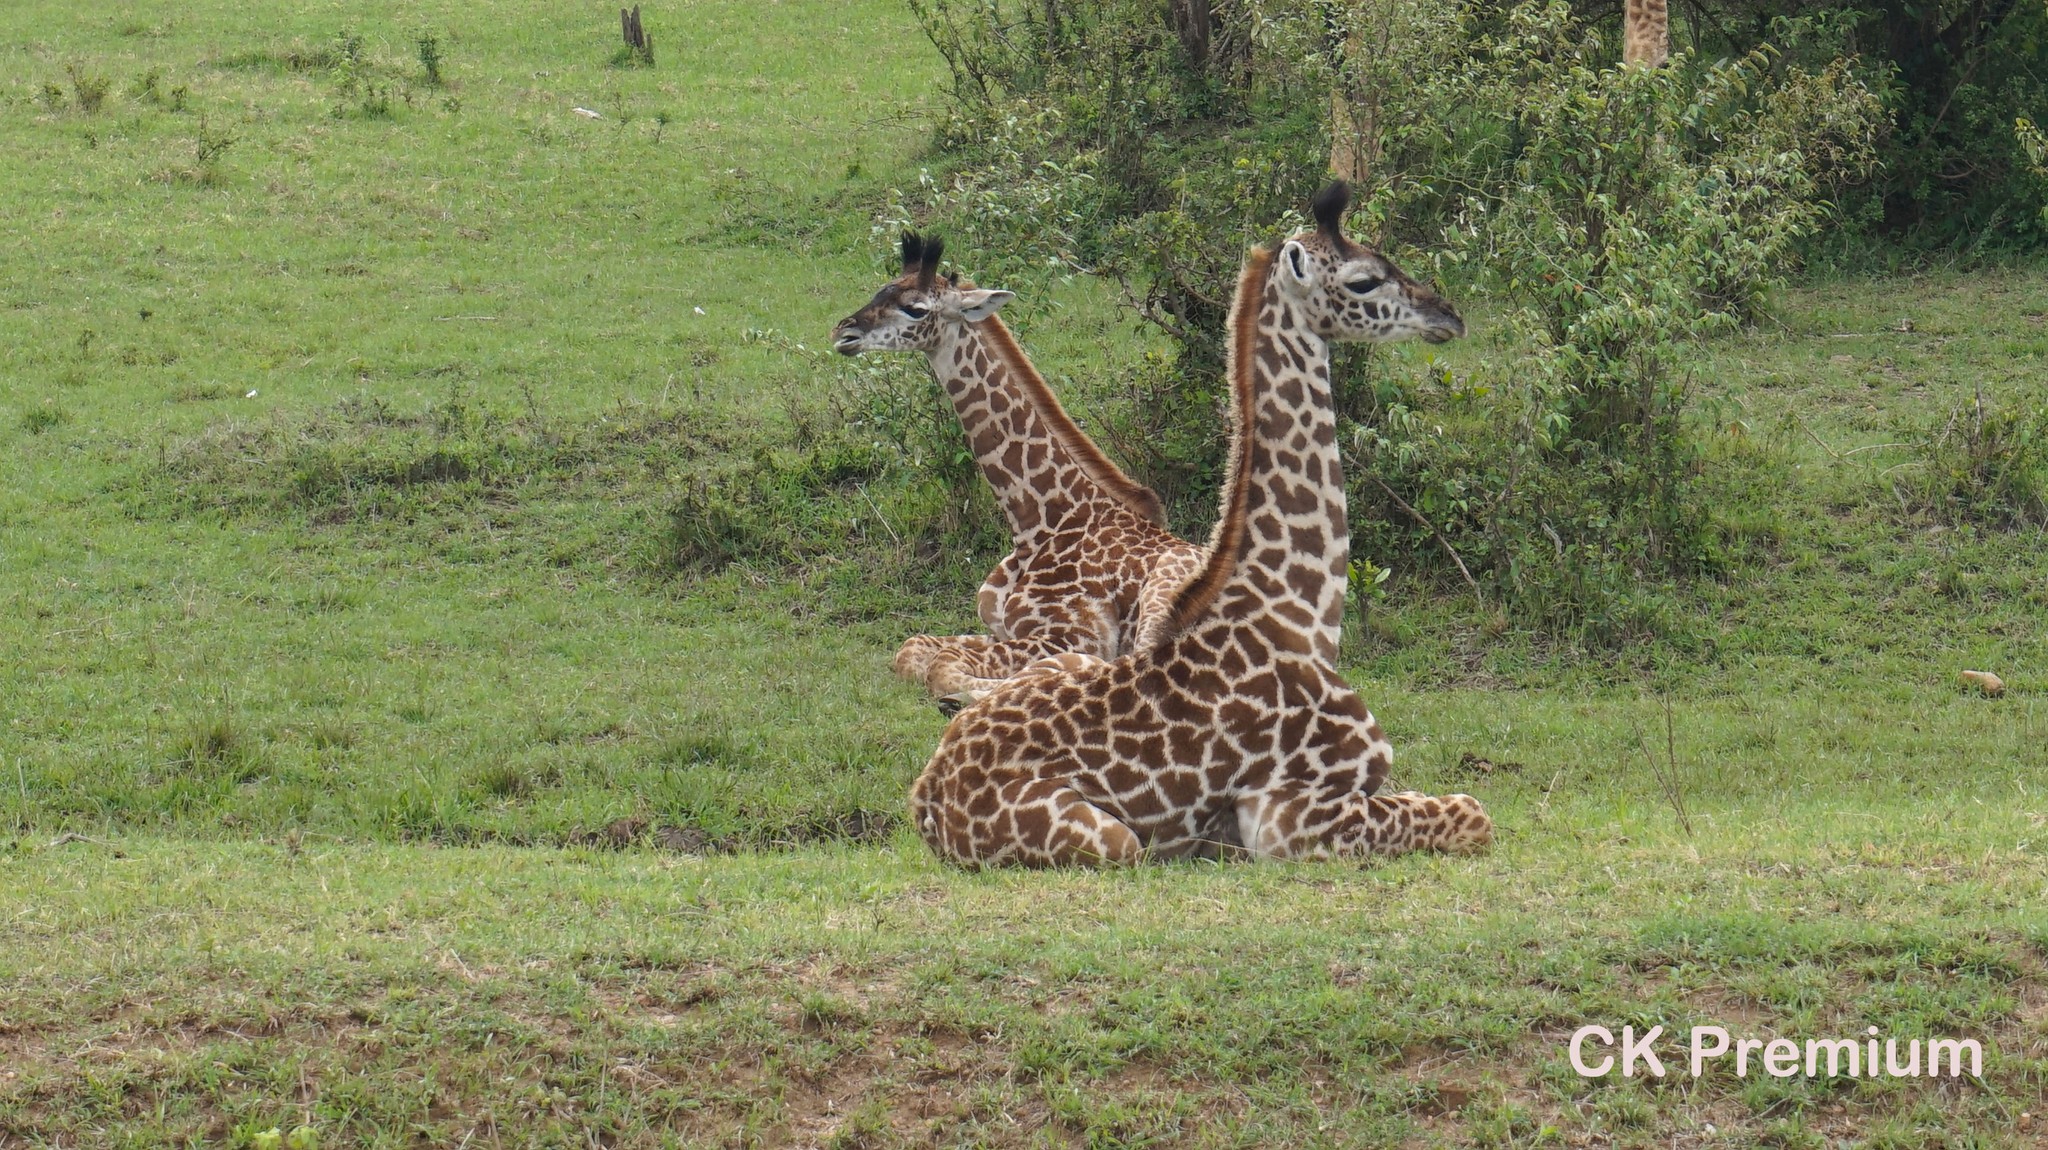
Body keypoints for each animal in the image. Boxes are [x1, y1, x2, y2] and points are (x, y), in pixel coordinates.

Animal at [831, 234, 1204, 708]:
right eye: (881, 290)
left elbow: (943, 668)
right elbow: (914, 650)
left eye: (915, 308)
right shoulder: (1000, 629)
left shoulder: (1066, 634)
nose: (844, 333)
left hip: (1163, 594)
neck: (1037, 523)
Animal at [909, 181, 1490, 859]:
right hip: (1114, 840)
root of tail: (926, 802)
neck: (1301, 614)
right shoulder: (1289, 818)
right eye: (1365, 280)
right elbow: (1474, 813)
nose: (1448, 314)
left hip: (1071, 666)